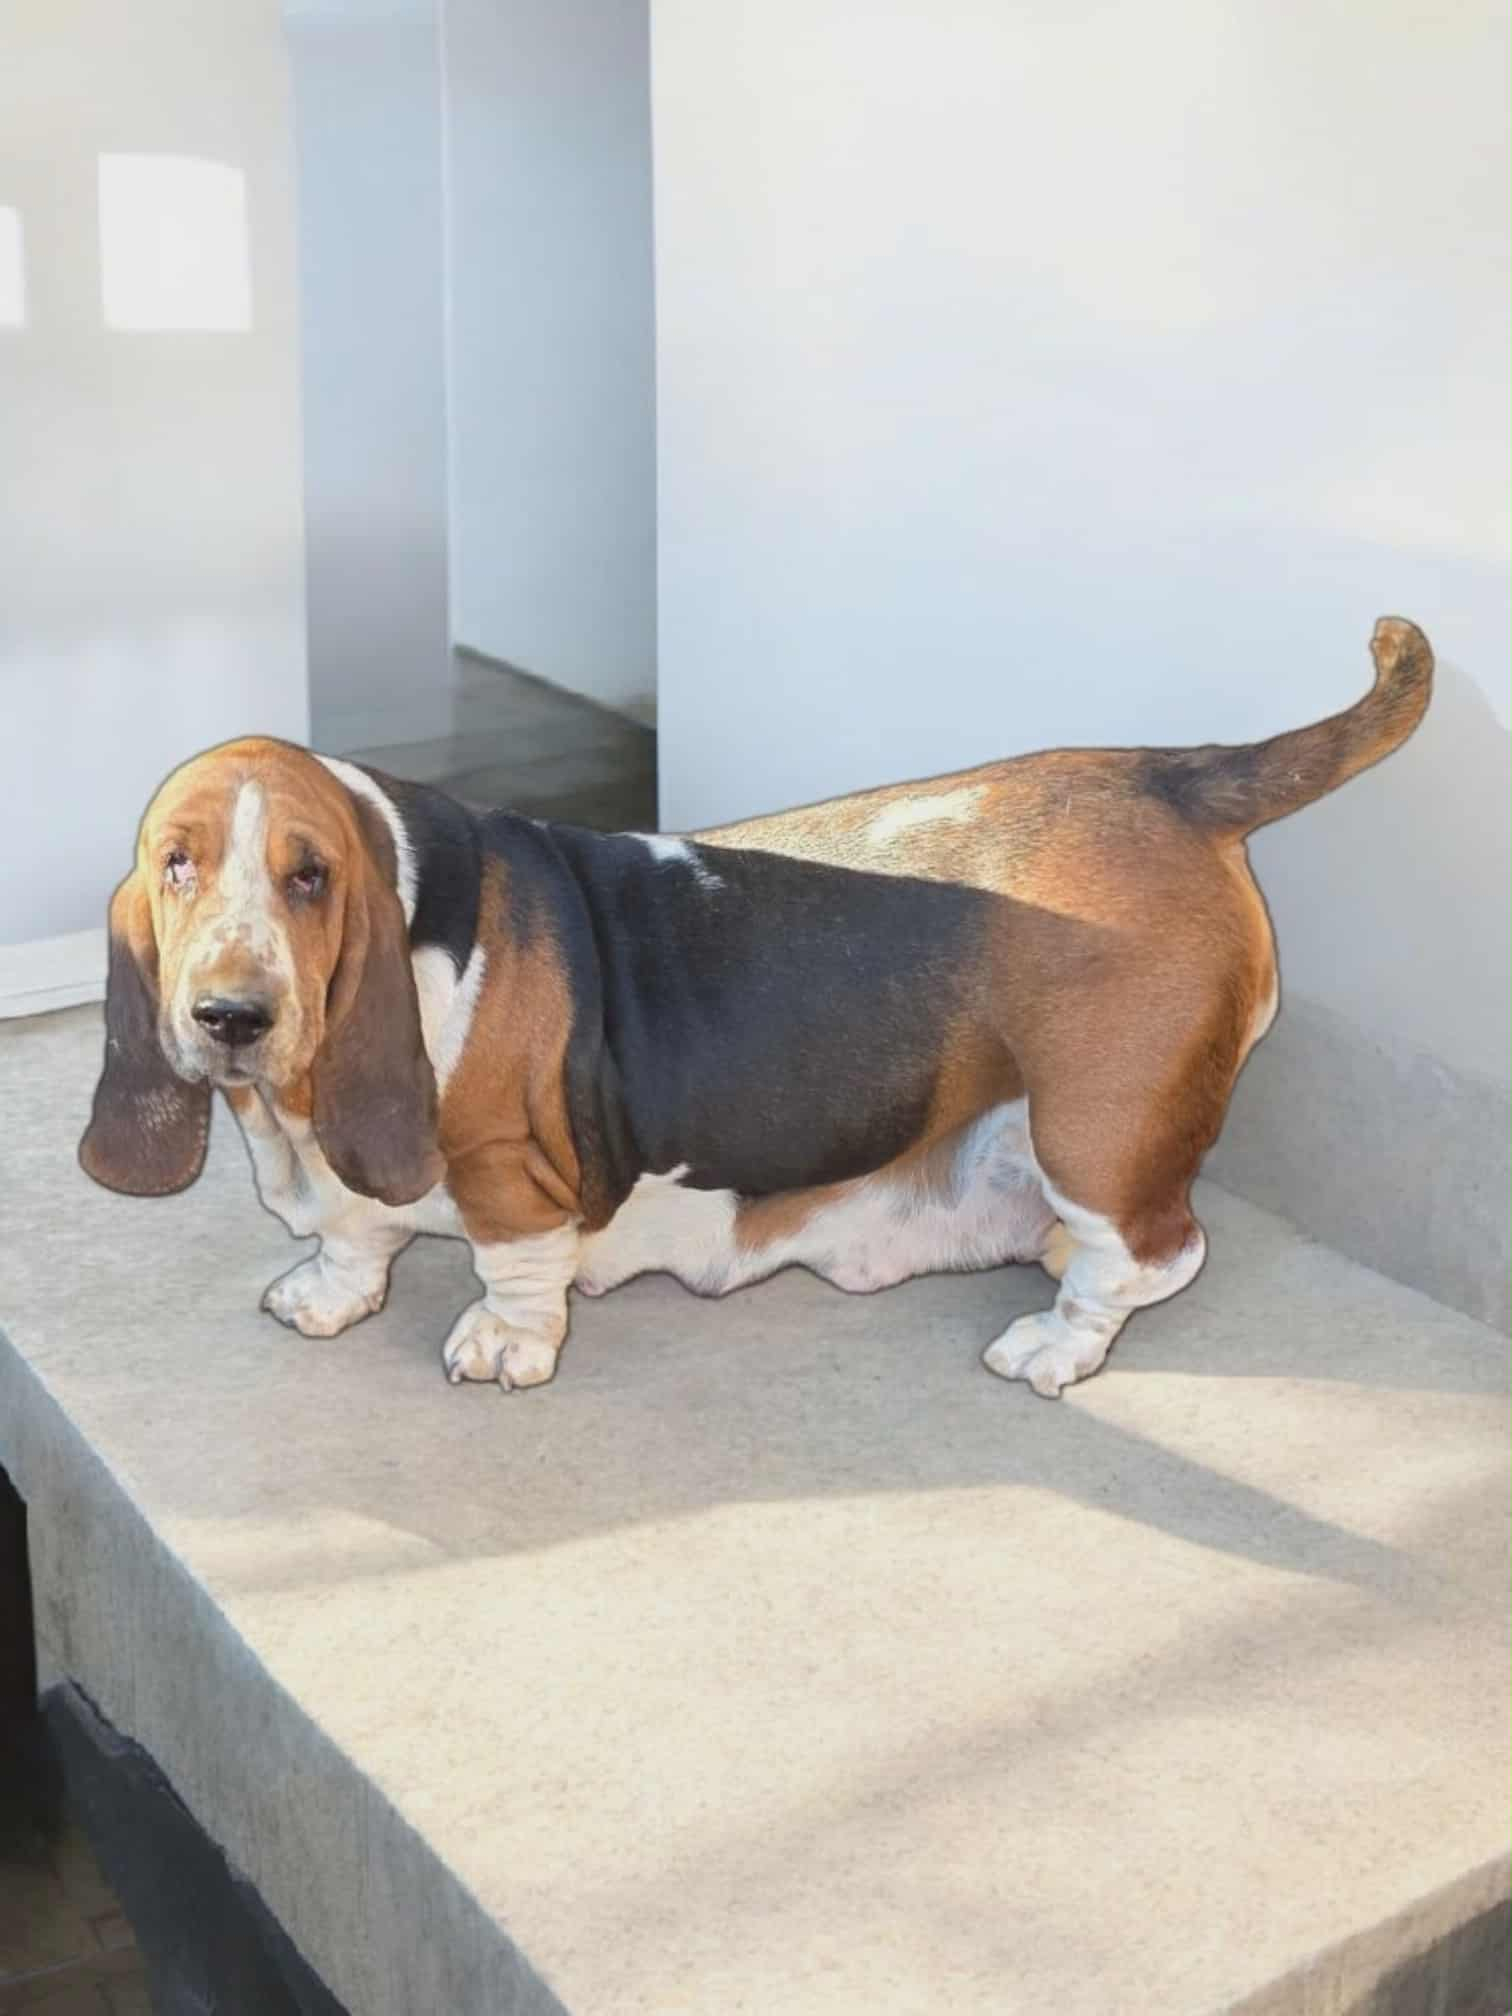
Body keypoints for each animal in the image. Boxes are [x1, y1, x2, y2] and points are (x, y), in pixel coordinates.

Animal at [79, 618, 1431, 1397]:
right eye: (175, 864)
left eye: (309, 875)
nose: (231, 1019)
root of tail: (1174, 776)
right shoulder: (344, 1182)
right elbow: (354, 1235)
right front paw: (328, 1294)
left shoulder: (510, 1170)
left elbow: (514, 1268)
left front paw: (503, 1348)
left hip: (1097, 1124)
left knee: (1152, 1251)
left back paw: (1055, 1343)